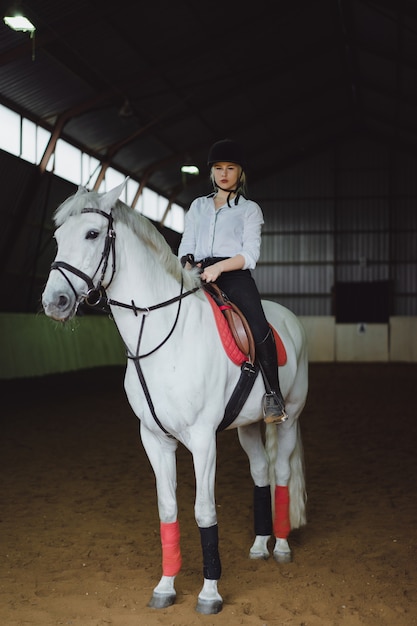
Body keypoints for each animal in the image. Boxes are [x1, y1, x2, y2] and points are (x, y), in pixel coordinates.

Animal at [42, 180, 308, 616]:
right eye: (58, 238)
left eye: (93, 234)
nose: (55, 303)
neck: (163, 334)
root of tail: (286, 317)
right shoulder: (154, 439)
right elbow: (168, 508)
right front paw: (165, 587)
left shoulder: (202, 440)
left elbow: (204, 511)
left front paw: (210, 594)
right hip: (247, 426)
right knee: (260, 474)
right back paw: (258, 546)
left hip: (289, 418)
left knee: (282, 474)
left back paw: (282, 547)